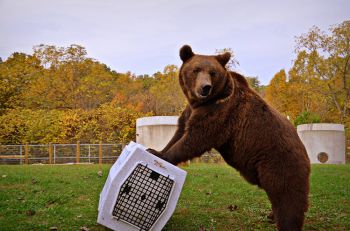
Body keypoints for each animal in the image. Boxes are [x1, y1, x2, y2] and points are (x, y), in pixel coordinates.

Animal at [146, 45, 310, 231]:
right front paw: (156, 149)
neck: (201, 102)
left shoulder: (221, 113)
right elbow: (179, 132)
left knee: (287, 199)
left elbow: (195, 138)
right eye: (196, 70)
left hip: (280, 163)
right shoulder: (191, 111)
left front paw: (162, 155)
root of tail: (304, 150)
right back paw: (271, 216)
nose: (205, 87)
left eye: (212, 72)